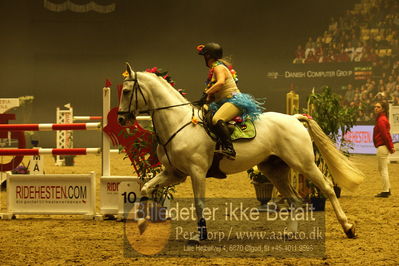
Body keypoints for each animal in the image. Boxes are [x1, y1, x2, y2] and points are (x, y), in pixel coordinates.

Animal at [118, 62, 366, 241]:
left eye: (127, 91)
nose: (121, 119)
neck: (179, 123)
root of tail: (295, 118)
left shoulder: (197, 172)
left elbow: (199, 204)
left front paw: (201, 236)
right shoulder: (174, 174)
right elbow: (146, 188)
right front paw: (142, 222)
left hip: (303, 164)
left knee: (327, 189)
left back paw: (348, 228)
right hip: (275, 170)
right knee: (294, 199)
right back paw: (290, 232)